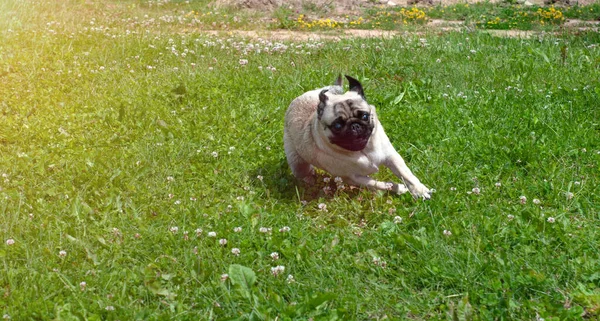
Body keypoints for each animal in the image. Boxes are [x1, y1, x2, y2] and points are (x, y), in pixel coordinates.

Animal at [284, 76, 432, 199]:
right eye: (337, 125)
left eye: (364, 116)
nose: (354, 125)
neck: (363, 150)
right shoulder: (352, 178)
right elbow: (377, 184)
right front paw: (397, 188)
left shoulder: (391, 157)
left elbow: (406, 174)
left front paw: (419, 190)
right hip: (298, 163)